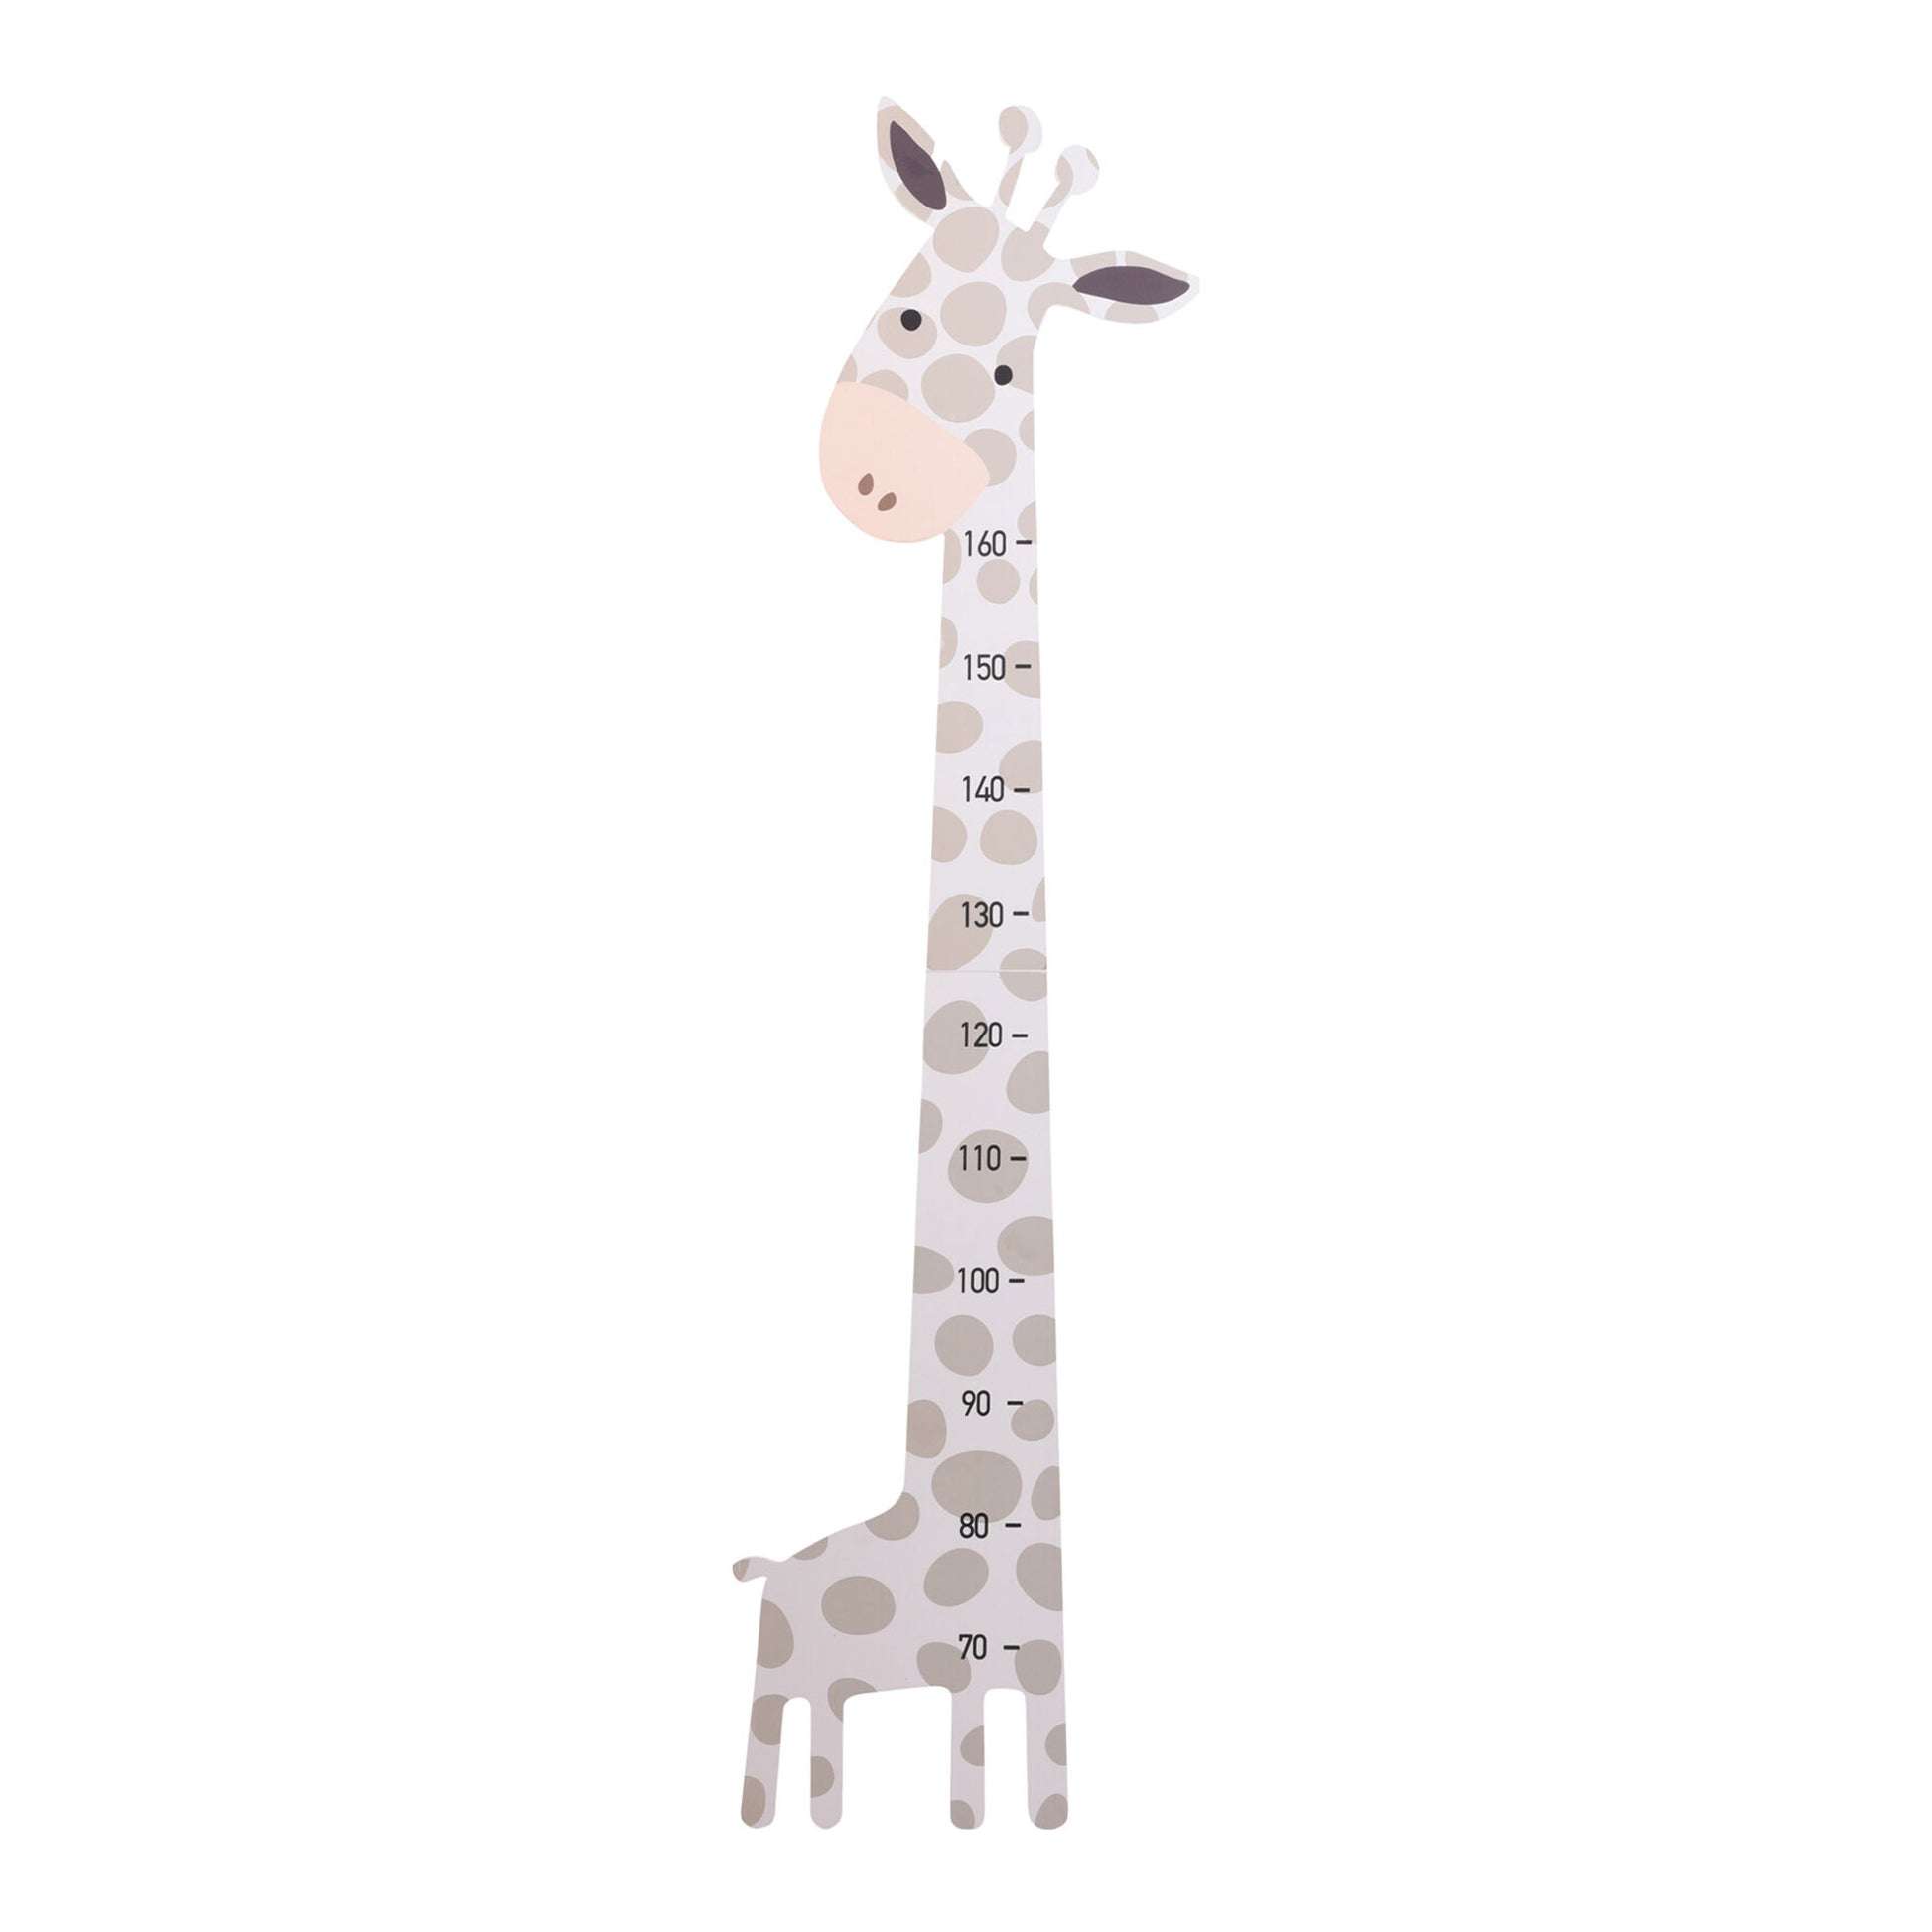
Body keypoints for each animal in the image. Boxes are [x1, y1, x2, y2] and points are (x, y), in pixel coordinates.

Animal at [733, 99, 1196, 1831]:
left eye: (1010, 368)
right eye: (912, 307)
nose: (874, 476)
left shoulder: (1038, 1669)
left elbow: (1021, 1757)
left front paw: (1024, 1824)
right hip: (791, 1666)